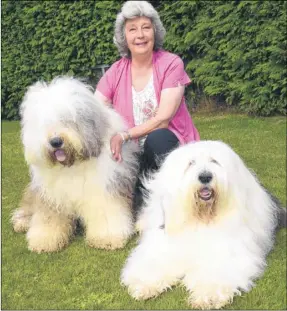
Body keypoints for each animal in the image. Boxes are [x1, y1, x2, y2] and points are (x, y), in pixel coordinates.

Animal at [11, 77, 140, 255]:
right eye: (45, 123)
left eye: (68, 120)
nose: (56, 141)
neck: (72, 165)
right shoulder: (51, 196)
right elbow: (47, 218)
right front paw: (44, 240)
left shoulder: (103, 190)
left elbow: (106, 213)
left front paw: (107, 238)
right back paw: (21, 223)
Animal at [121, 141, 286, 310]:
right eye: (191, 163)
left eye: (214, 161)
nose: (205, 176)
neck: (201, 218)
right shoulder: (164, 246)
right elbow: (154, 263)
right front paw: (144, 285)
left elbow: (215, 273)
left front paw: (208, 296)